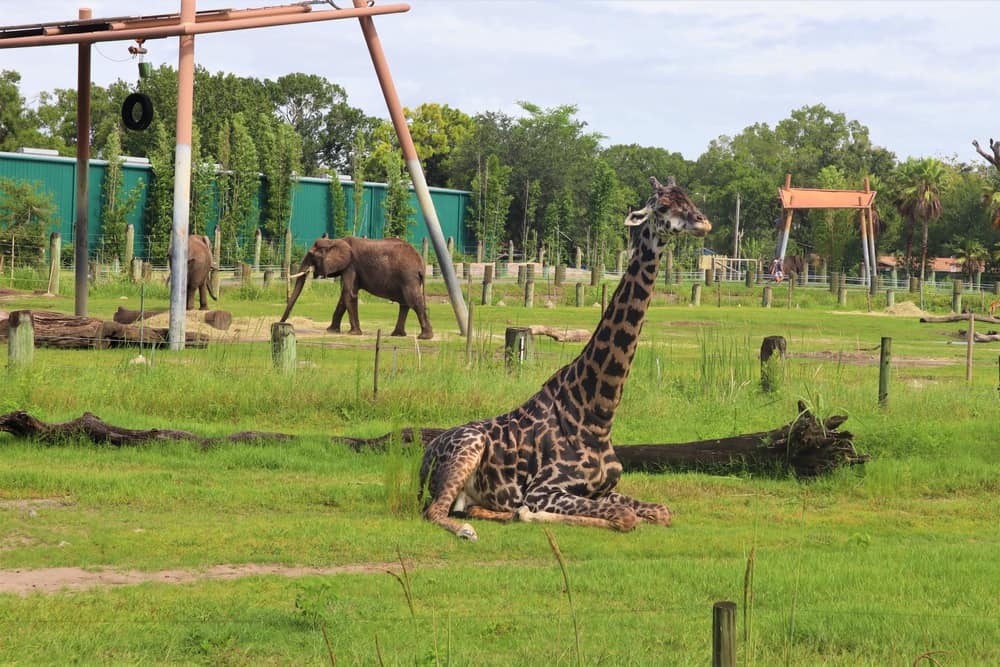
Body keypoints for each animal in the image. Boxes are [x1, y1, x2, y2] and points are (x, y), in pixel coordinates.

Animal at [284, 235, 436, 340]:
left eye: (311, 254)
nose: (282, 322)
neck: (335, 241)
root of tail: (421, 264)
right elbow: (344, 296)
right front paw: (331, 331)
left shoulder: (351, 266)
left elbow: (349, 294)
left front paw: (353, 333)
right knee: (405, 303)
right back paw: (398, 335)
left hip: (408, 276)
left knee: (413, 301)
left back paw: (424, 337)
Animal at [418, 175, 716, 540]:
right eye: (662, 206)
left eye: (688, 198)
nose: (703, 222)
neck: (597, 414)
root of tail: (425, 454)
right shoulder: (544, 490)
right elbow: (624, 517)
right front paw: (532, 514)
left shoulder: (602, 489)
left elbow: (661, 511)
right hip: (467, 451)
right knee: (435, 511)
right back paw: (468, 529)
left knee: (470, 507)